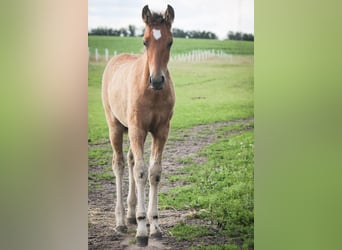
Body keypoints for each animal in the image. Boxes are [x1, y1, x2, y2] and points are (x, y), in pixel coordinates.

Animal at [100, 4, 175, 247]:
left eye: (170, 41)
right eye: (145, 41)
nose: (157, 80)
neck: (152, 92)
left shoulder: (161, 131)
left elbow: (154, 172)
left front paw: (155, 226)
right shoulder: (137, 129)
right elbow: (141, 172)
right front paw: (143, 231)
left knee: (131, 161)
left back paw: (131, 215)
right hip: (116, 127)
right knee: (120, 164)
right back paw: (121, 221)